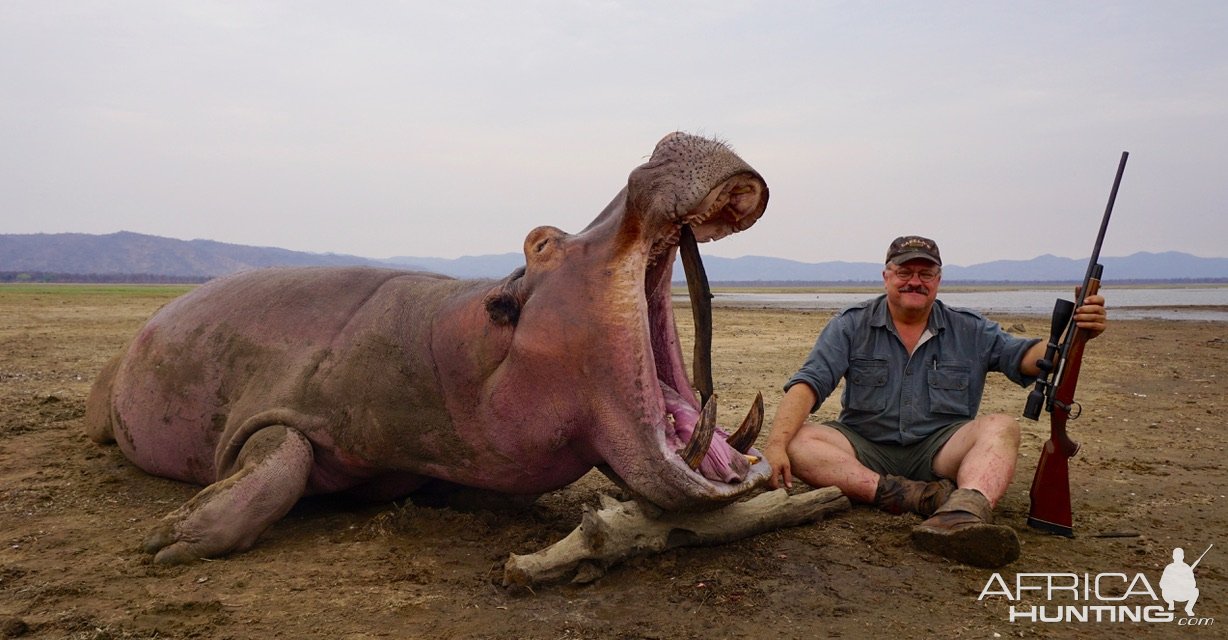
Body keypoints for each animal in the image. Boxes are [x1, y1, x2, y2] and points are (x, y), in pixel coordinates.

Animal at [86, 129, 771, 560]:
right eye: (541, 241)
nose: (660, 145)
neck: (454, 346)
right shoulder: (283, 404)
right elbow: (281, 455)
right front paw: (168, 541)